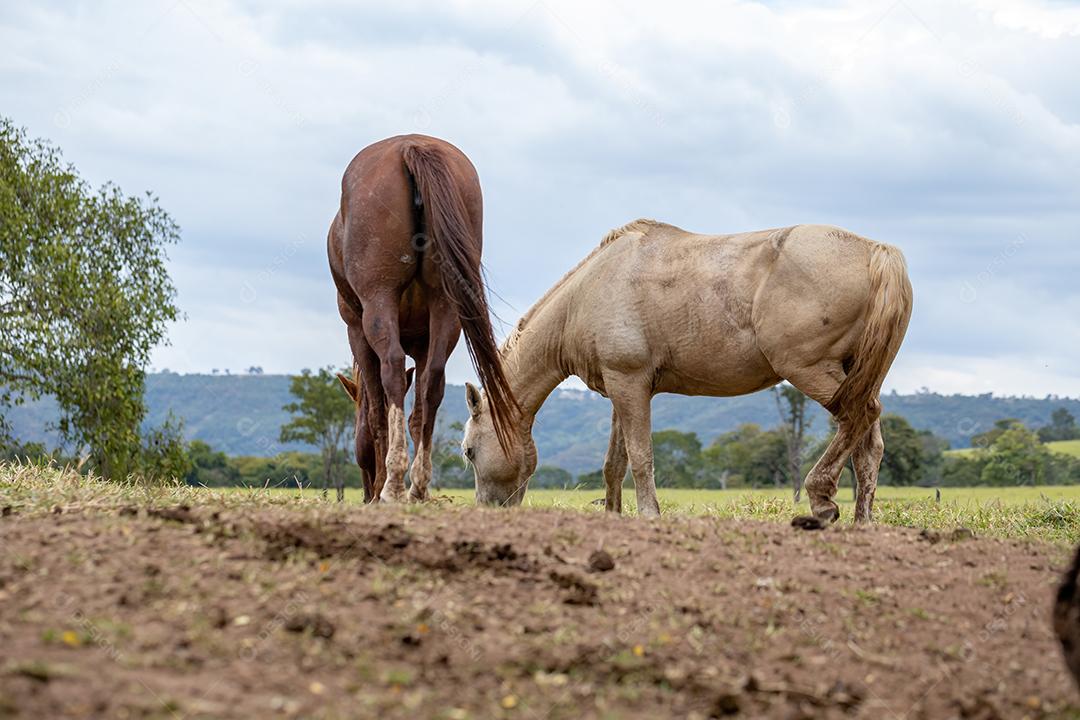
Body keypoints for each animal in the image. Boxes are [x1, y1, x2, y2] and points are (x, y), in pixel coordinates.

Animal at [328, 134, 518, 503]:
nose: (364, 491)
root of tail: (411, 145)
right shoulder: (421, 341)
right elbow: (417, 412)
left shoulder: (356, 330)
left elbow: (377, 410)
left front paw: (380, 486)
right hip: (447, 307)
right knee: (433, 382)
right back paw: (417, 485)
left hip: (379, 302)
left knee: (391, 370)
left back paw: (393, 485)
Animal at [461, 219, 912, 521]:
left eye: (468, 451)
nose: (486, 510)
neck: (588, 292)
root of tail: (877, 251)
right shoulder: (621, 388)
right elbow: (614, 464)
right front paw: (612, 515)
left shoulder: (630, 384)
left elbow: (641, 457)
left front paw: (649, 514)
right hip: (858, 375)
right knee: (869, 444)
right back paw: (862, 519)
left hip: (812, 370)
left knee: (858, 418)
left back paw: (820, 498)